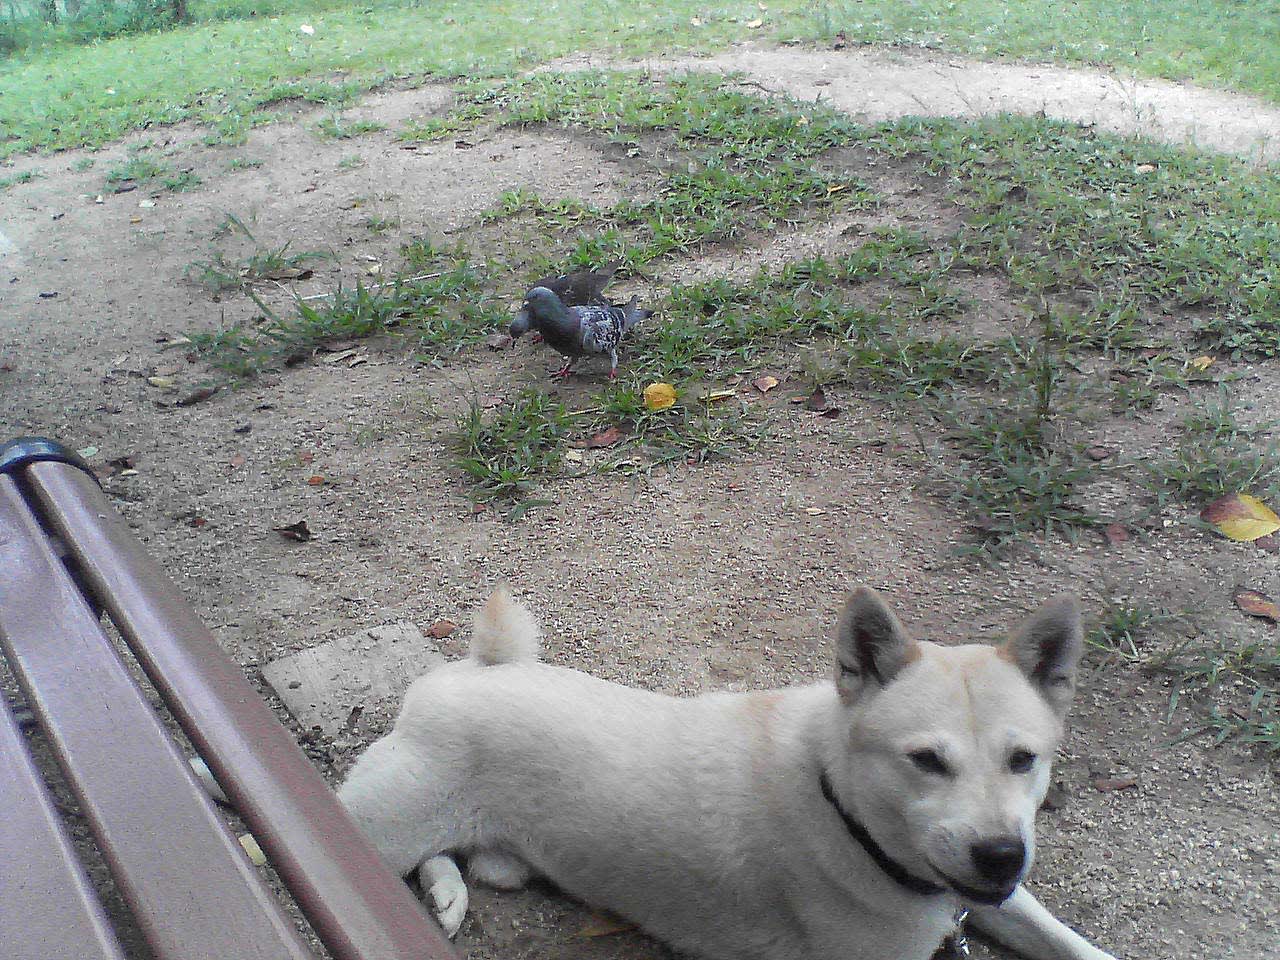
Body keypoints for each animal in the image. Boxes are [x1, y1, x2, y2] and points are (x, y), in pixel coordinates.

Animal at [340, 586, 1121, 960]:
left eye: (1024, 760)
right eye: (926, 761)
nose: (1001, 855)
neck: (842, 807)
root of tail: (475, 668)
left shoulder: (986, 891)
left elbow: (1067, 942)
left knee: (452, 857)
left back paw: (447, 894)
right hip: (382, 822)